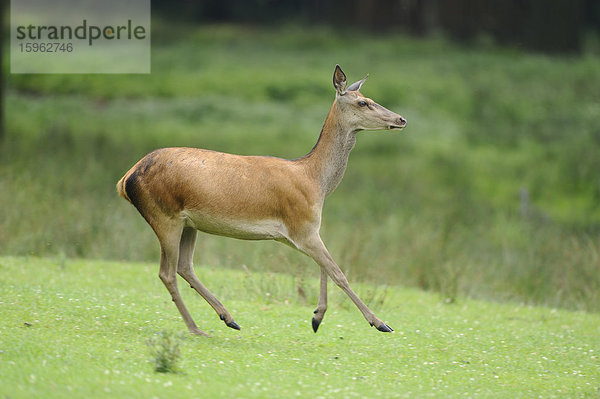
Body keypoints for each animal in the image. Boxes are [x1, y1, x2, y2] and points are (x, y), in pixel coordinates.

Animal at [116, 66, 408, 338]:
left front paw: (317, 317)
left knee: (184, 267)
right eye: (363, 102)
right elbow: (338, 273)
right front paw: (380, 323)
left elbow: (324, 267)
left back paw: (228, 318)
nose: (401, 119)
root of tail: (126, 179)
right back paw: (197, 328)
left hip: (189, 223)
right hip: (164, 215)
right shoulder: (301, 224)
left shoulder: (301, 231)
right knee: (166, 272)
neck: (316, 182)